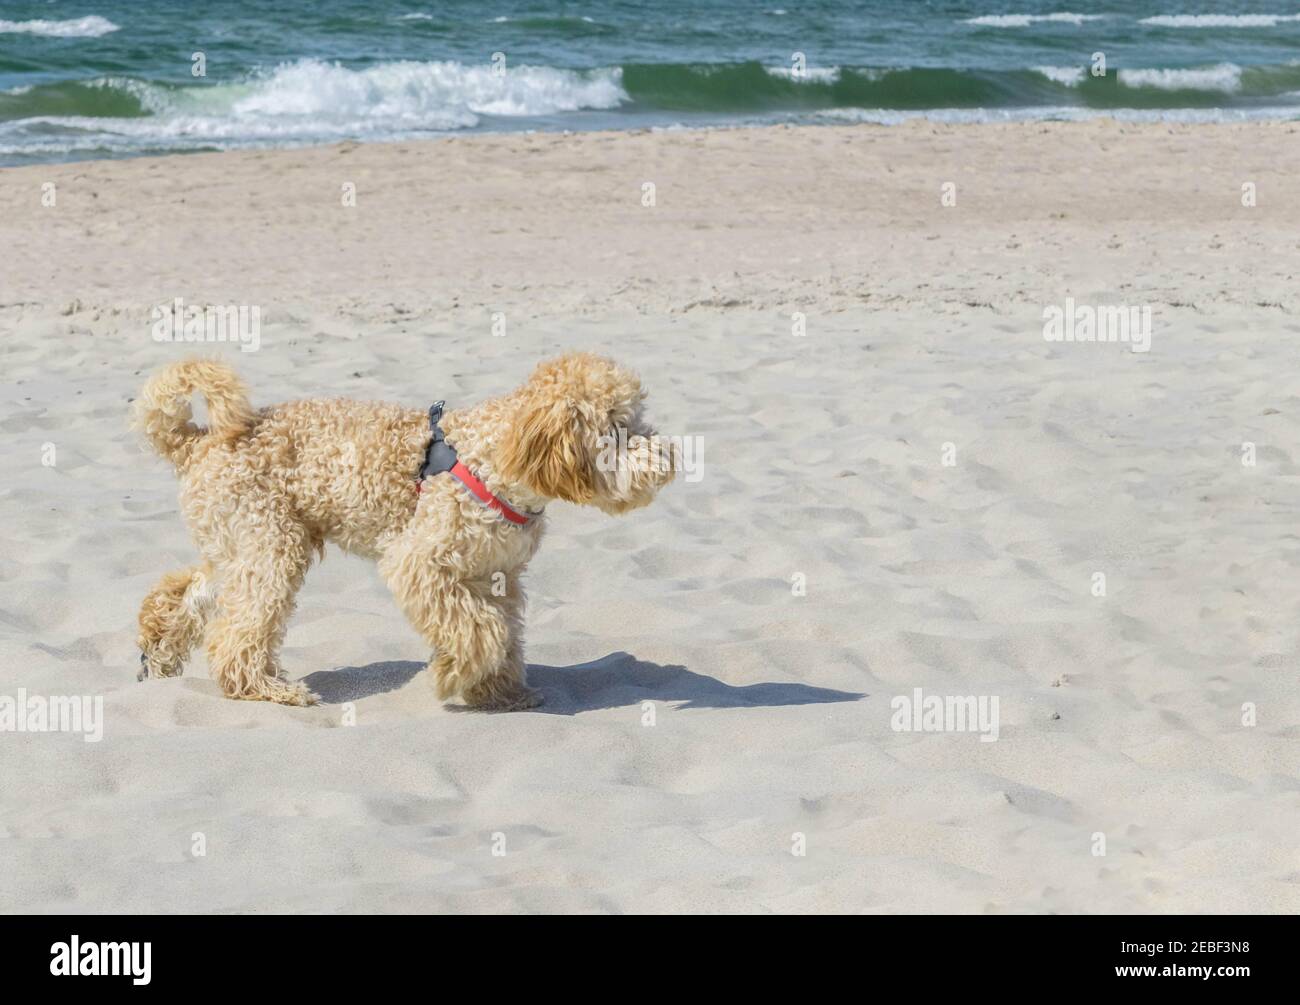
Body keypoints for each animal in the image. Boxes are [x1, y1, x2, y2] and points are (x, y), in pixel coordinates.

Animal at [133, 353, 676, 707]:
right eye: (620, 429)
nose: (671, 455)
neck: (495, 459)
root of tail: (198, 442)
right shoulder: (420, 564)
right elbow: (481, 631)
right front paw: (453, 675)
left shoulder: (495, 577)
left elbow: (504, 635)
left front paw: (499, 692)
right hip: (270, 547)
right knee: (236, 633)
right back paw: (266, 689)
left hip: (238, 544)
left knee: (185, 596)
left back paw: (158, 656)